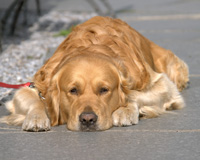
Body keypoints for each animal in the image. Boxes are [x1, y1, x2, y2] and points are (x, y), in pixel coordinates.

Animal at [0, 15, 188, 131]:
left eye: (104, 90)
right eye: (73, 90)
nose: (88, 119)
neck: (93, 48)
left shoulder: (162, 83)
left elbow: (133, 94)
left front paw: (124, 110)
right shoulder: (34, 85)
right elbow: (35, 100)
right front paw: (36, 117)